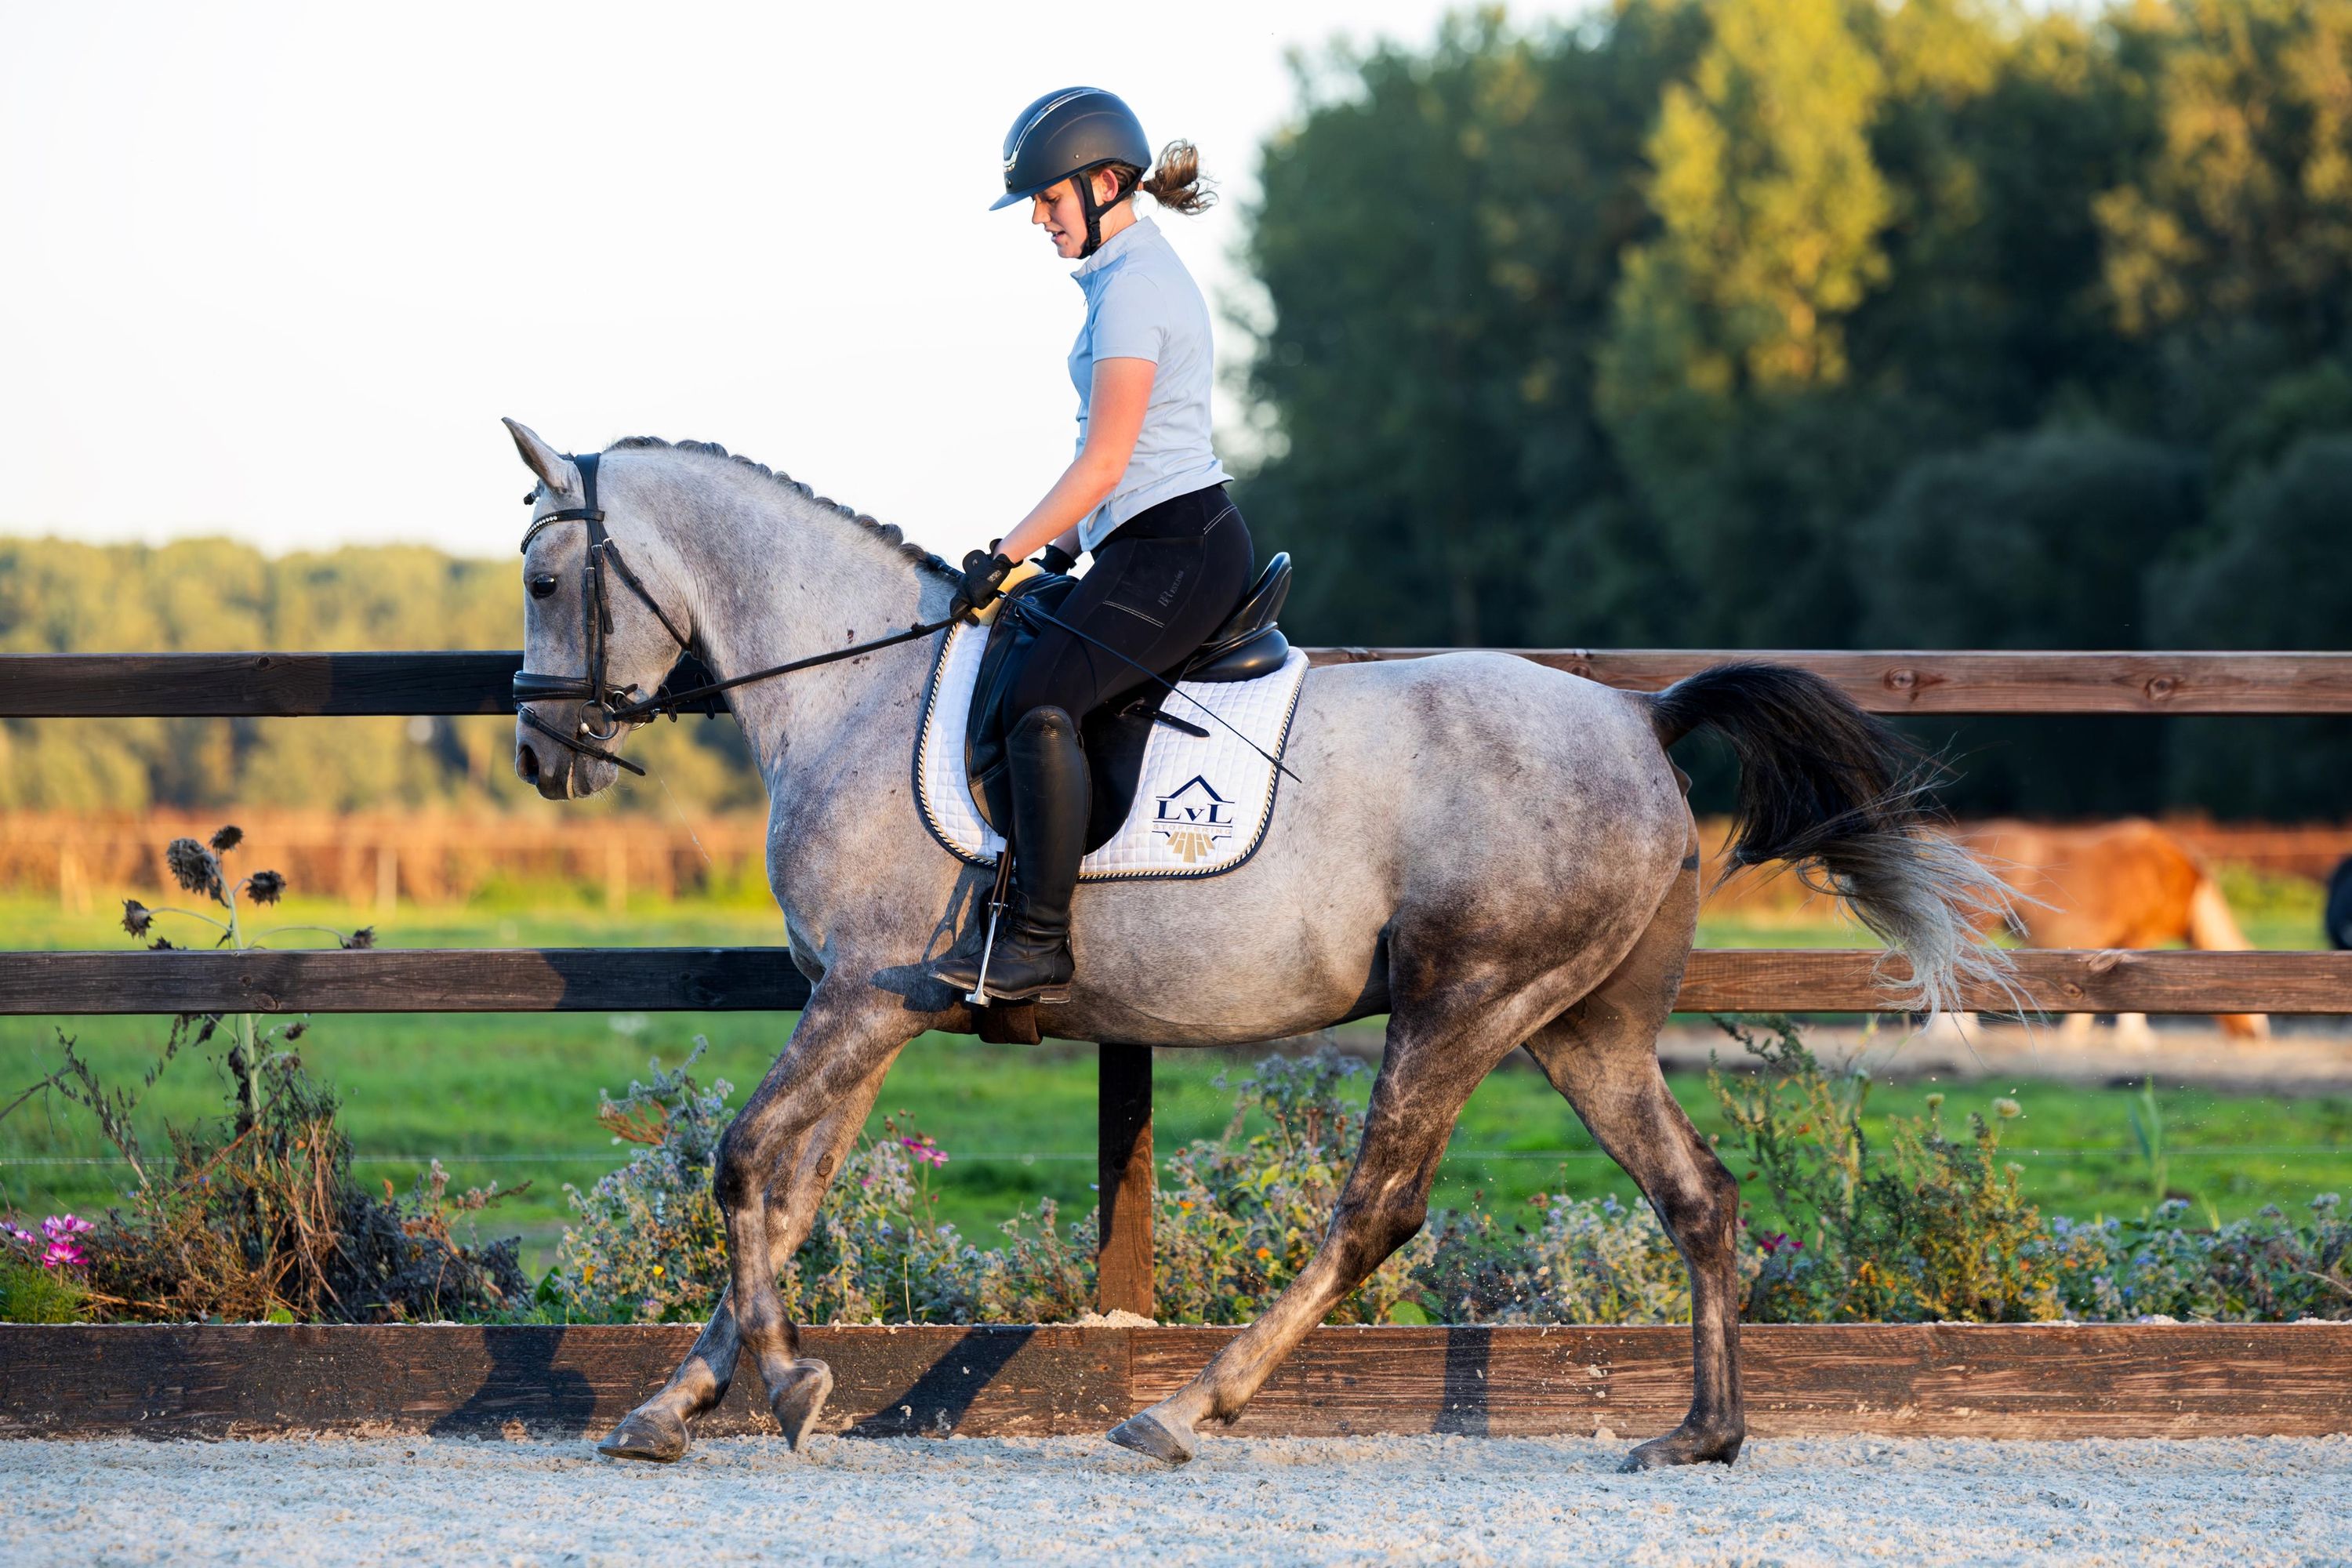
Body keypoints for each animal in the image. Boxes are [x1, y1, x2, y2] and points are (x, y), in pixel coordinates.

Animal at [501, 421, 2008, 1470]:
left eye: (545, 576)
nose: (538, 754)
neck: (858, 685)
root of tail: (1643, 719)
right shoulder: (874, 1010)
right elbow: (792, 1190)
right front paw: (676, 1405)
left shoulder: (867, 999)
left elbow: (740, 1160)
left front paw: (791, 1384)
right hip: (1587, 1028)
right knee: (1697, 1197)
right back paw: (1702, 1434)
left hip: (1464, 1002)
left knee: (1376, 1212)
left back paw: (1182, 1408)